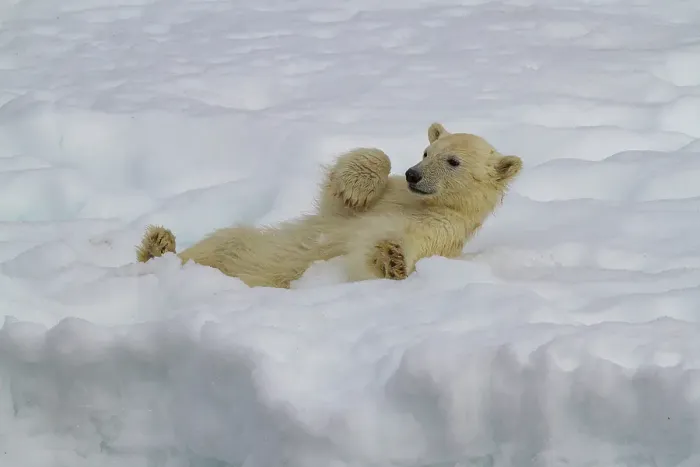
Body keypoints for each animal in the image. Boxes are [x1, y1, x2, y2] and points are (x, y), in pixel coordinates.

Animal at [135, 122, 522, 288]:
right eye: (427, 152)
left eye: (454, 161)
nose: (414, 174)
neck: (420, 202)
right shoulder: (383, 199)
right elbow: (340, 202)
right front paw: (357, 184)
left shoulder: (447, 227)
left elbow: (416, 241)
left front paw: (391, 256)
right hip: (240, 243)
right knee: (219, 243)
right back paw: (159, 244)